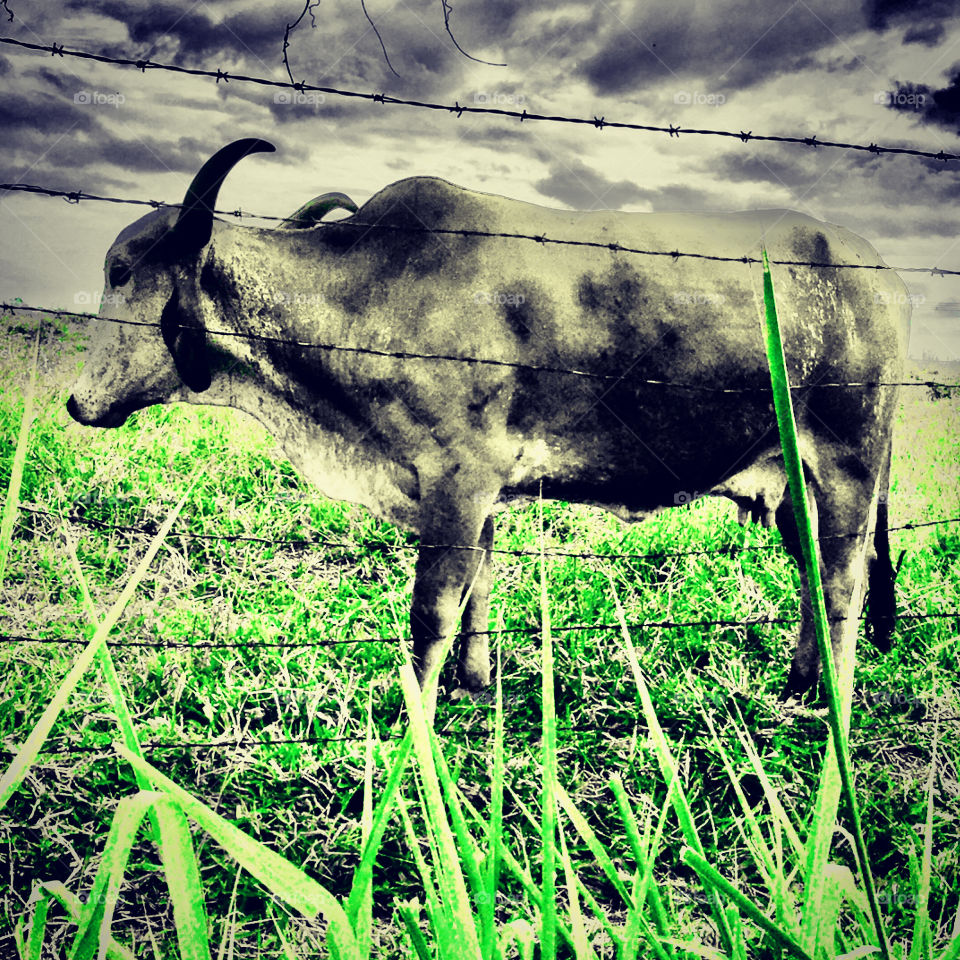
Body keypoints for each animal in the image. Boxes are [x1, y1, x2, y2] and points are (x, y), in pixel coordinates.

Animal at [67, 139, 908, 700]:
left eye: (121, 271)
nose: (78, 403)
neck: (367, 289)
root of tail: (876, 269)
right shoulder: (479, 497)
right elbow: (478, 591)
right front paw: (472, 684)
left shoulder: (457, 479)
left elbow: (432, 612)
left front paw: (416, 714)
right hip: (794, 479)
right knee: (814, 572)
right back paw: (799, 682)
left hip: (850, 460)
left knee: (843, 580)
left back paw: (826, 701)